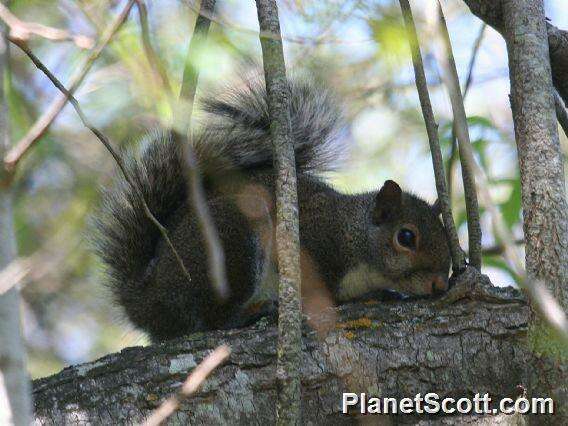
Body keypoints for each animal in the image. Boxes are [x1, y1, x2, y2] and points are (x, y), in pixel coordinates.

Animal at [92, 72, 448, 340]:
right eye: (406, 237)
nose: (439, 285)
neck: (354, 234)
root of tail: (147, 301)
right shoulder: (313, 244)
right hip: (230, 246)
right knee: (212, 321)